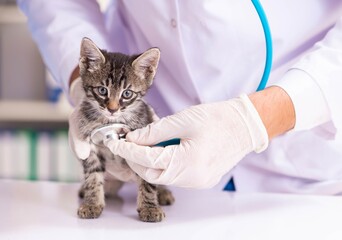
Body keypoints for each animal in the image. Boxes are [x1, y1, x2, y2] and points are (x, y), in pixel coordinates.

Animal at [74, 36, 175, 222]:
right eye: (102, 90)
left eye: (127, 94)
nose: (113, 109)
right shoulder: (89, 147)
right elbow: (93, 176)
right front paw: (92, 203)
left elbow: (148, 180)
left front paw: (149, 208)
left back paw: (163, 192)